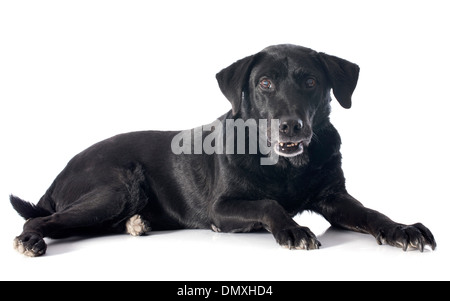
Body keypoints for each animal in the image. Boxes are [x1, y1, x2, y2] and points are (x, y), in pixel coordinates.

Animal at [9, 44, 436, 255]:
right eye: (264, 83)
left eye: (312, 81)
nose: (291, 125)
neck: (285, 167)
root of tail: (58, 174)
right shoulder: (222, 206)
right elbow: (269, 204)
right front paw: (293, 230)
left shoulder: (335, 198)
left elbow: (371, 213)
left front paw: (401, 229)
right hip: (116, 189)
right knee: (43, 221)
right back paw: (30, 241)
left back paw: (136, 224)